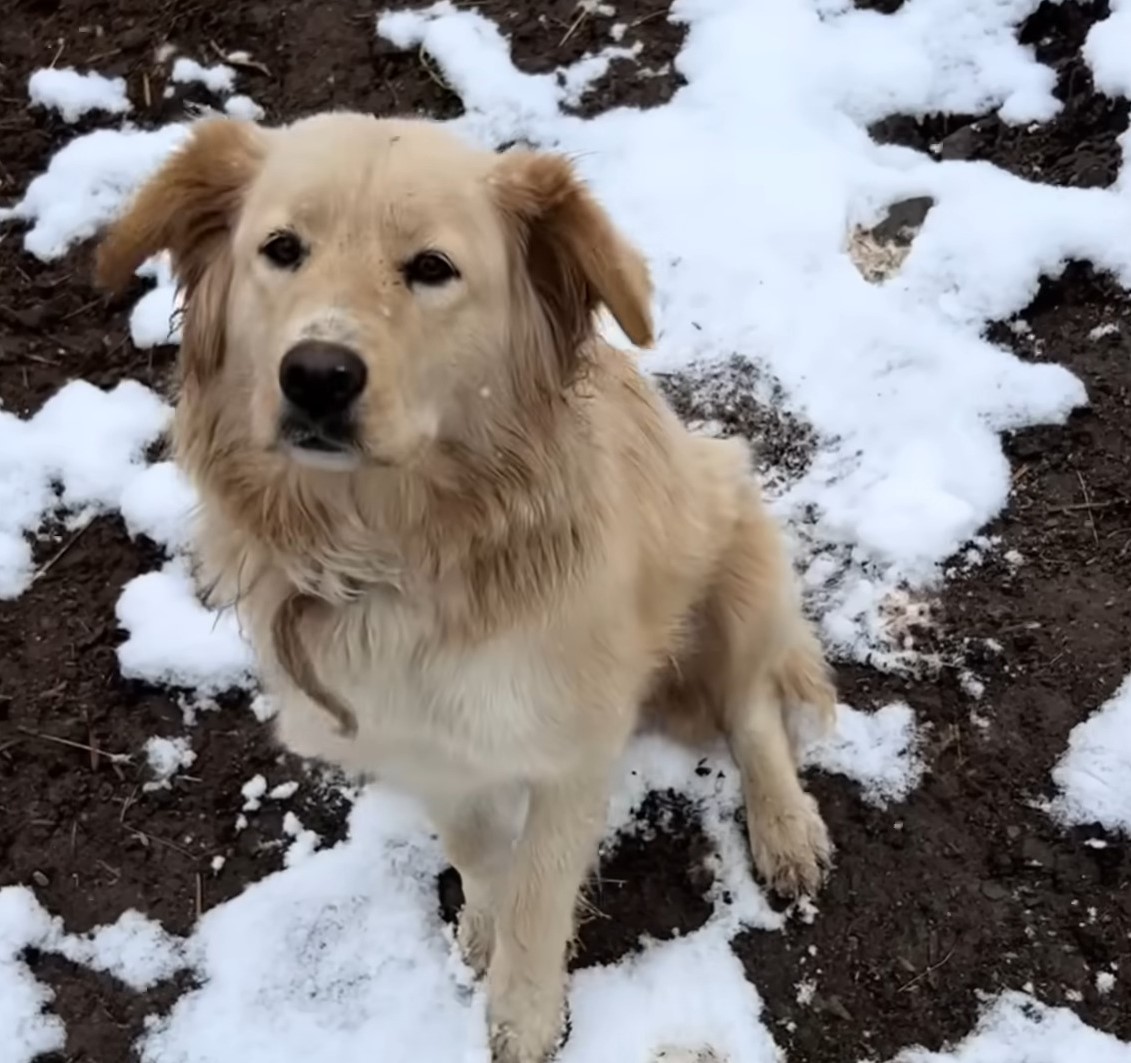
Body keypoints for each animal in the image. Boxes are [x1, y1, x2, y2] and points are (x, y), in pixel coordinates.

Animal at [97, 111, 836, 1058]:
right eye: (281, 248)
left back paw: (784, 827)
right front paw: (484, 928)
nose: (316, 374)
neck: (400, 552)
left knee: (750, 709)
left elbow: (540, 891)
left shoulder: (572, 750)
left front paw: (522, 1012)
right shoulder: (422, 745)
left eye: (431, 268)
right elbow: (481, 850)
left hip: (733, 546)